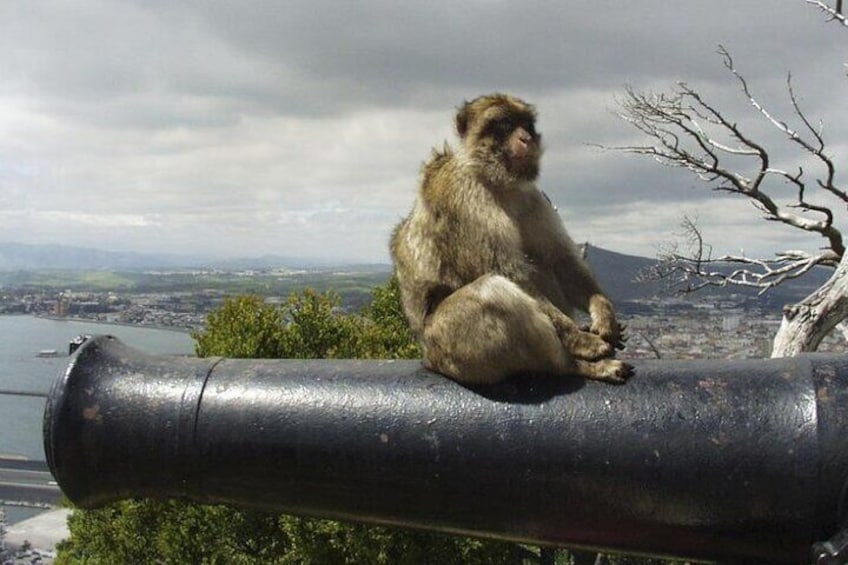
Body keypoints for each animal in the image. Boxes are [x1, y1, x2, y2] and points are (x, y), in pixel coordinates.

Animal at [390, 92, 628, 386]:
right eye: (504, 124)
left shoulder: (533, 197)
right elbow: (508, 271)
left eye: (526, 124)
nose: (526, 138)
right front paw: (583, 341)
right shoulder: (466, 197)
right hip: (450, 348)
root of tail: (428, 359)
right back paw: (574, 365)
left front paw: (605, 316)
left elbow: (561, 259)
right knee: (491, 291)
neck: (498, 181)